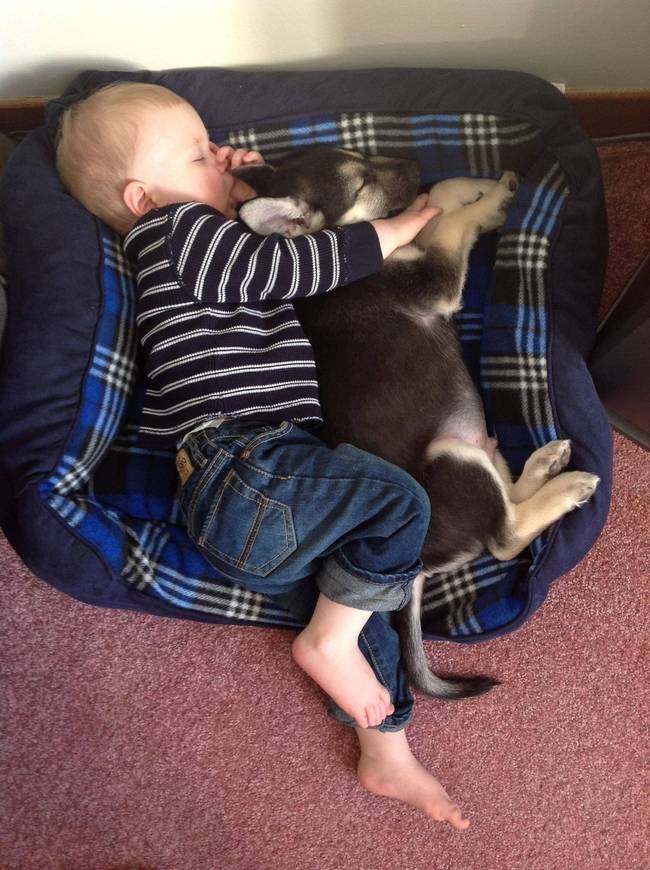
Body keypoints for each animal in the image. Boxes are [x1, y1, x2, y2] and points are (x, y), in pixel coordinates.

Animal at [234, 146, 596, 700]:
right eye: (361, 182)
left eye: (360, 155)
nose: (413, 164)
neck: (324, 256)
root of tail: (420, 560)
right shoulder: (435, 279)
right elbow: (450, 224)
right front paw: (488, 200)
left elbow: (442, 210)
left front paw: (466, 188)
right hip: (452, 455)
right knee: (506, 534)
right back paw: (567, 487)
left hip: (482, 449)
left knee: (509, 498)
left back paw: (546, 463)